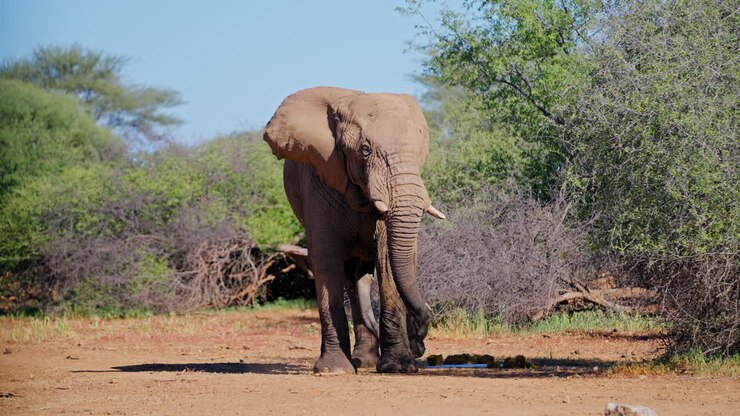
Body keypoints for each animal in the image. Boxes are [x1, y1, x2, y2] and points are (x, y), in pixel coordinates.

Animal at [263, 86, 445, 374]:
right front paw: (334, 370)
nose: (420, 343)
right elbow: (325, 258)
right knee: (350, 277)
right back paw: (361, 362)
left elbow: (386, 258)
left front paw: (398, 367)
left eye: (420, 153)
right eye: (365, 150)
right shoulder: (317, 179)